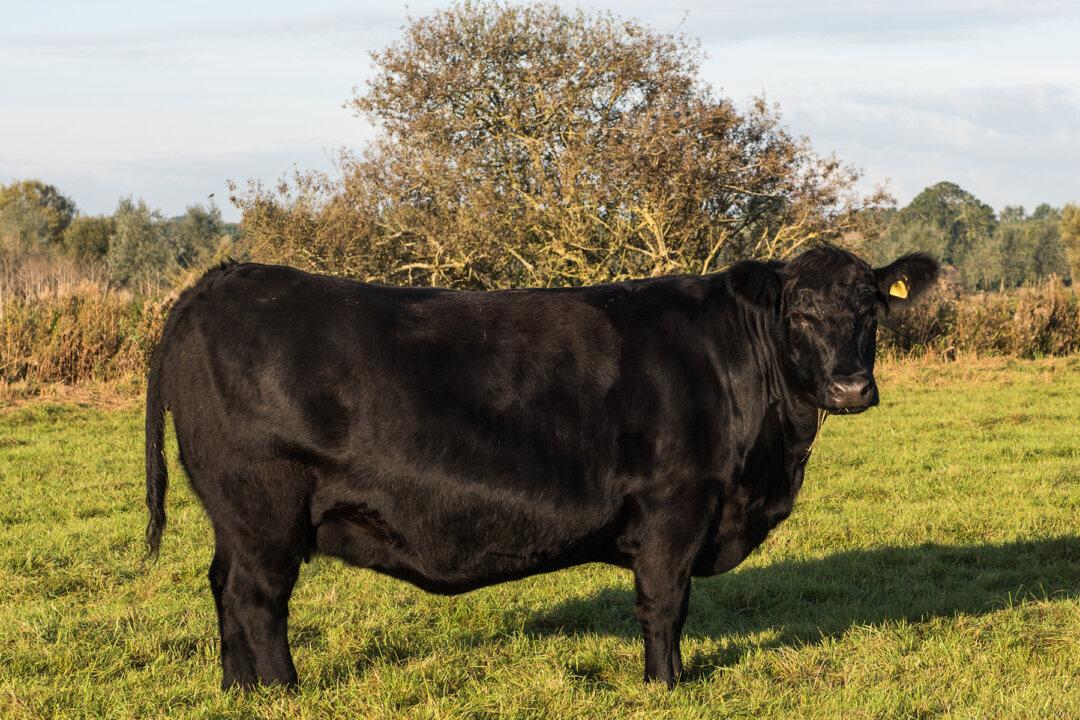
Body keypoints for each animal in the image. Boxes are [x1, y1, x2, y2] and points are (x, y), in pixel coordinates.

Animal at [143, 245, 938, 690]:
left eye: (872, 308)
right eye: (798, 312)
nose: (850, 387)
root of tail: (216, 281)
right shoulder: (675, 504)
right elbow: (664, 604)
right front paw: (668, 687)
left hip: (232, 516)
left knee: (222, 589)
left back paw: (238, 691)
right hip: (264, 507)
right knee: (257, 600)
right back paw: (282, 692)